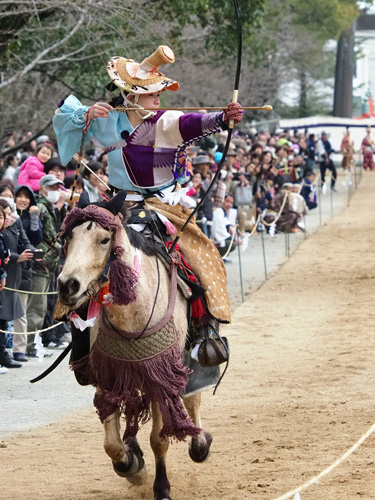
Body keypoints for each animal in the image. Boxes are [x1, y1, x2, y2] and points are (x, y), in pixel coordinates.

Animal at [57, 194, 213, 500]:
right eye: (68, 236)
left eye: (104, 239)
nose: (67, 285)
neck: (132, 313)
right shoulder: (109, 373)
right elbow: (113, 444)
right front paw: (131, 464)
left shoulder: (161, 373)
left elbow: (159, 439)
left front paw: (162, 488)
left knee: (192, 399)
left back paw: (200, 443)